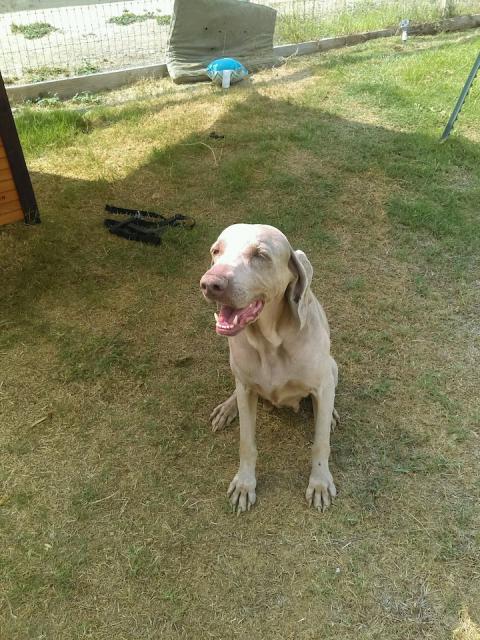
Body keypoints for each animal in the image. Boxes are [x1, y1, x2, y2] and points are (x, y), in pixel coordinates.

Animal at [201, 222, 340, 512]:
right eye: (216, 251)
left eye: (260, 255)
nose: (210, 284)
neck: (269, 342)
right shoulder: (246, 388)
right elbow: (246, 442)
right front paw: (245, 484)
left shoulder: (322, 385)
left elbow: (320, 443)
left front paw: (320, 483)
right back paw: (227, 408)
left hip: (332, 368)